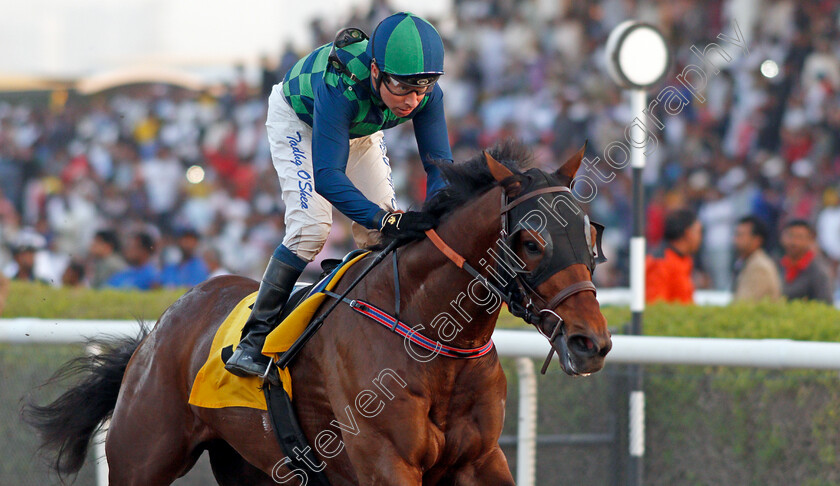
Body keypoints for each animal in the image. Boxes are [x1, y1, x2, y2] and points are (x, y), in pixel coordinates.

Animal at [24, 140, 612, 482]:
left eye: (590, 234)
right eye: (531, 241)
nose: (592, 343)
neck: (435, 342)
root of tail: (159, 329)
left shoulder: (482, 458)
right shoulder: (386, 461)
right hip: (143, 453)